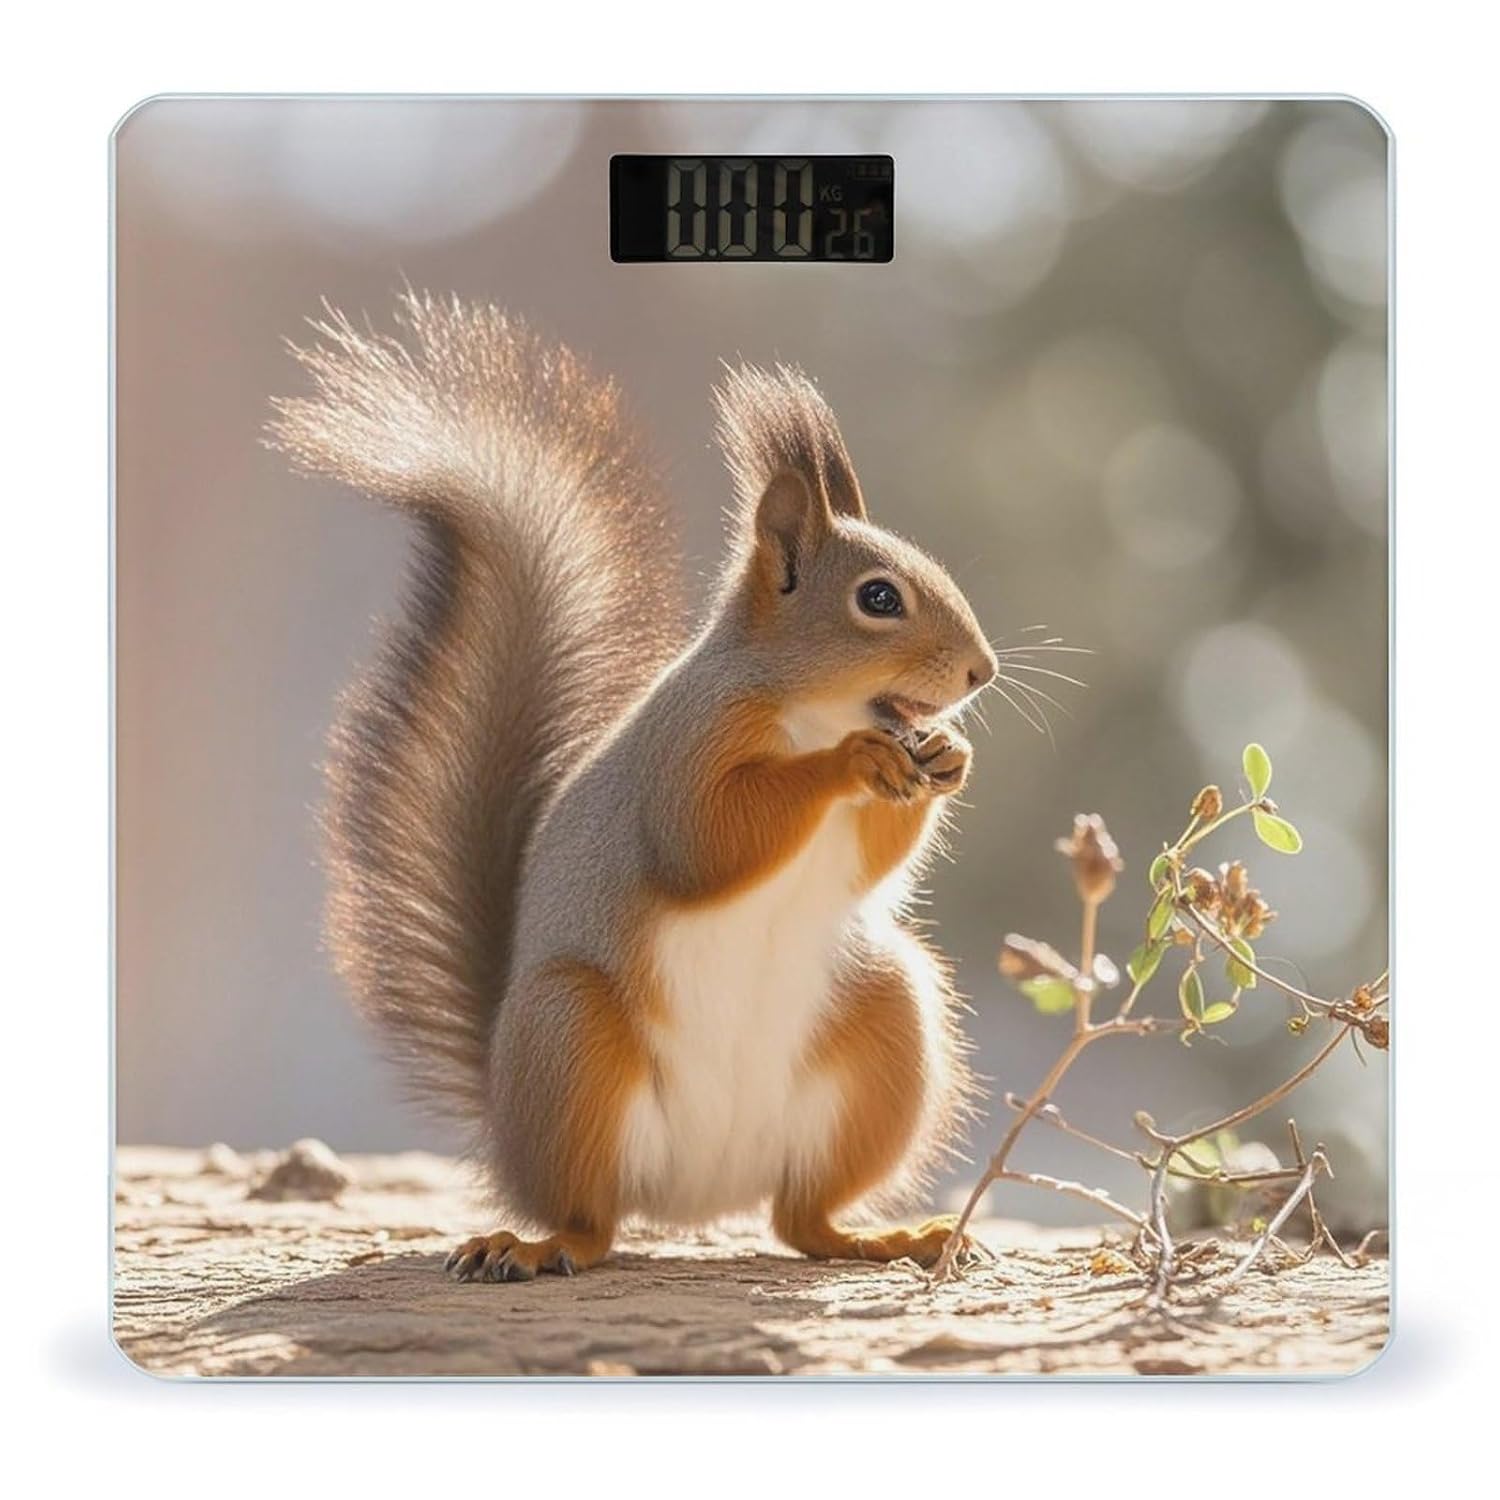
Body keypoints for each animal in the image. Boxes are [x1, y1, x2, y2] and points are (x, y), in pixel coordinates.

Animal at [268, 290, 999, 1281]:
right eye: (878, 598)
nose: (982, 673)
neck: (811, 708)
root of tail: (699, 1195)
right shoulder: (686, 750)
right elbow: (708, 841)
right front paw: (851, 763)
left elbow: (869, 862)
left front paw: (947, 758)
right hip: (573, 1038)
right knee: (594, 1220)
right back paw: (532, 1243)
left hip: (888, 1022)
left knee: (802, 1220)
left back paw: (885, 1236)